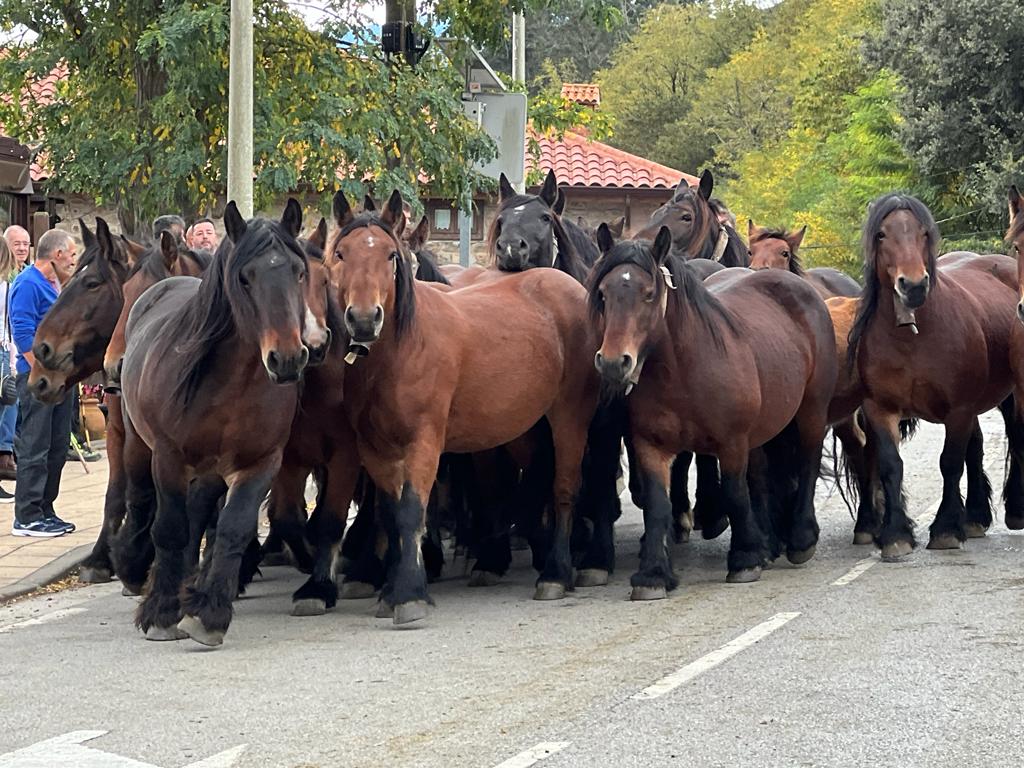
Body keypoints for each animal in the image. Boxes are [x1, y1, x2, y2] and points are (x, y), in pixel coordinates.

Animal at [120, 201, 311, 647]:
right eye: (245, 276)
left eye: (299, 271)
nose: (287, 359)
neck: (231, 384)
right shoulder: (168, 457)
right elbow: (170, 528)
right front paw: (161, 612)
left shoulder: (261, 463)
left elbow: (232, 528)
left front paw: (209, 613)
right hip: (138, 445)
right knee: (145, 504)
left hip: (210, 469)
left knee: (200, 511)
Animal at [327, 188, 598, 626]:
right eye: (340, 253)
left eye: (390, 255)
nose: (365, 320)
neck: (404, 349)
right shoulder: (375, 448)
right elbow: (389, 514)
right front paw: (389, 589)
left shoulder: (424, 443)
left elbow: (411, 512)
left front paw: (409, 595)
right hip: (522, 429)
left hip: (569, 416)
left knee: (563, 488)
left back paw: (555, 572)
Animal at [589, 222, 835, 593]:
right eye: (603, 293)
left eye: (648, 293)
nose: (615, 363)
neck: (683, 370)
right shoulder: (650, 446)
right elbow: (658, 505)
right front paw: (653, 574)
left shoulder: (732, 443)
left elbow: (734, 492)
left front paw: (745, 559)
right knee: (761, 478)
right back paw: (769, 540)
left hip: (811, 410)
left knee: (807, 461)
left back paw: (801, 538)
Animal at [843, 192, 1019, 561]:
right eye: (881, 234)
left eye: (924, 233)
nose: (912, 285)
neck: (912, 335)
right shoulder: (879, 408)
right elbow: (891, 465)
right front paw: (896, 535)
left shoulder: (958, 409)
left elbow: (950, 463)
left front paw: (946, 530)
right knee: (976, 448)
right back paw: (975, 516)